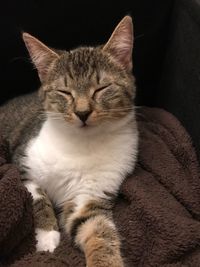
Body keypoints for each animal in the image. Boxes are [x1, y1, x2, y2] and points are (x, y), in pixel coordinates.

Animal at [0, 15, 138, 266]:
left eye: (102, 88)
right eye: (64, 92)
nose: (82, 113)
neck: (81, 144)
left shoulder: (91, 194)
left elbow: (97, 229)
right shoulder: (23, 164)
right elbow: (37, 197)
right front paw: (47, 237)